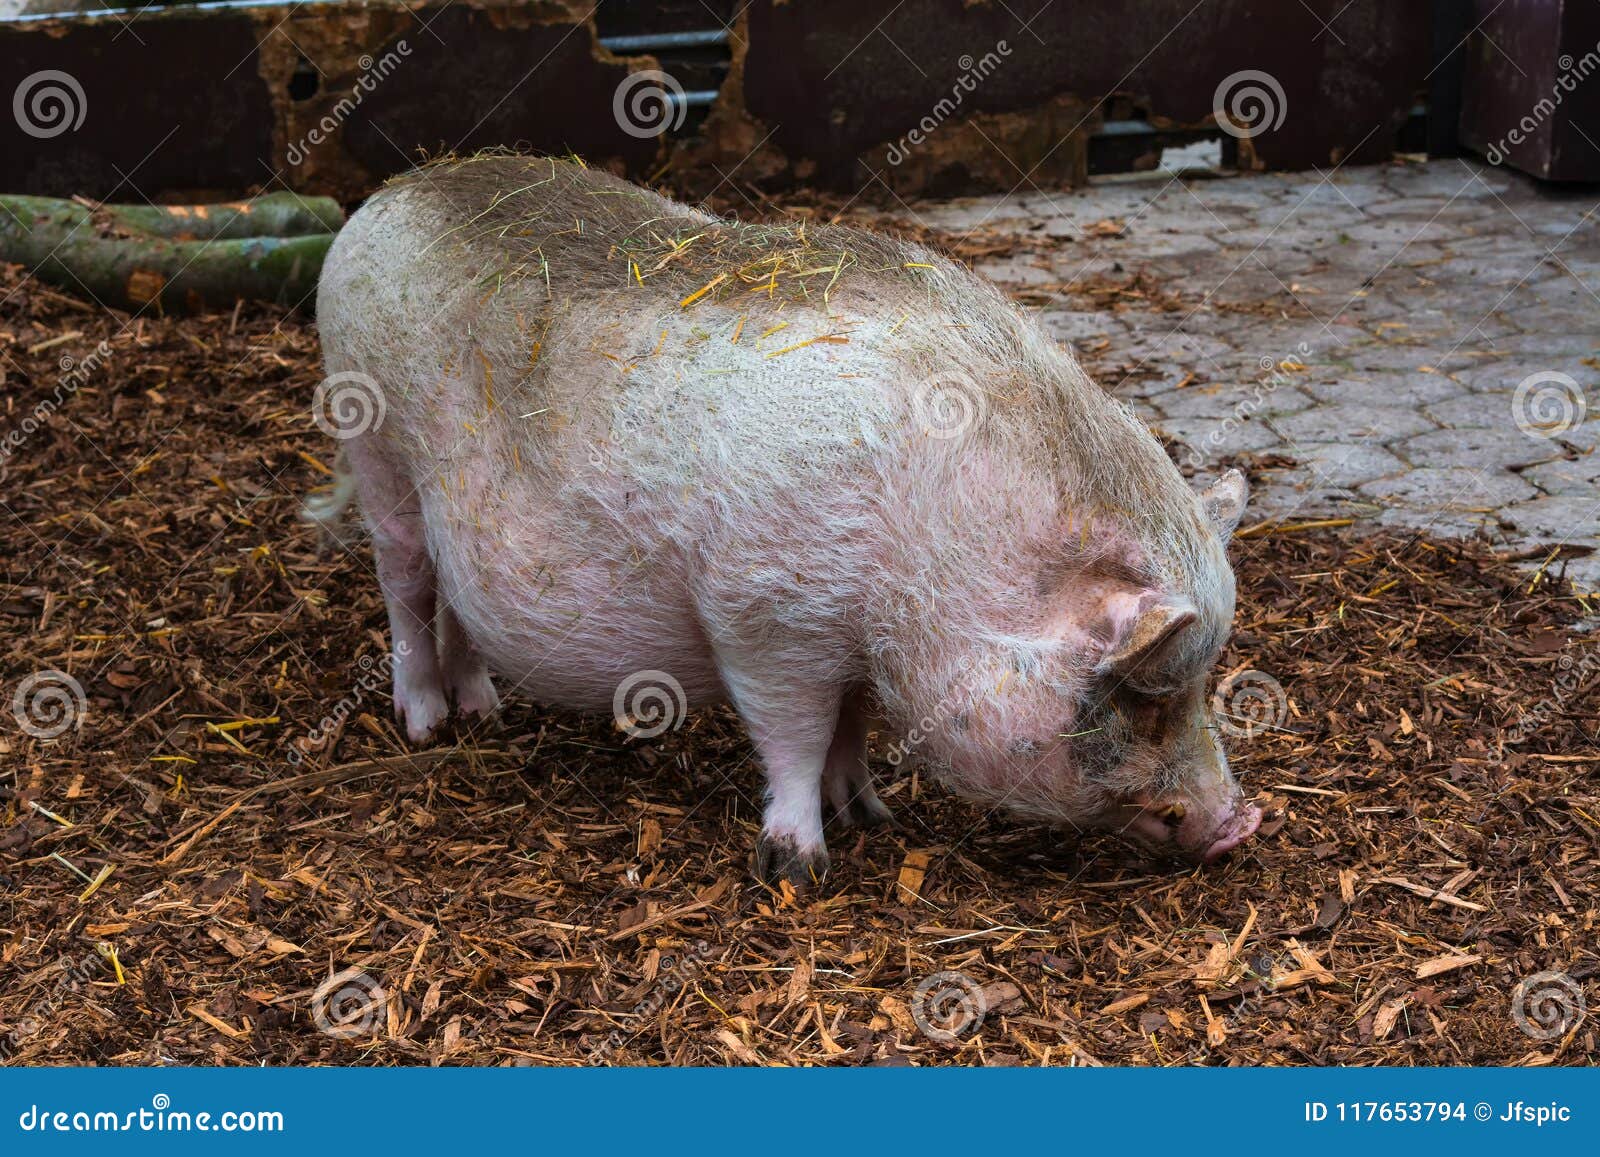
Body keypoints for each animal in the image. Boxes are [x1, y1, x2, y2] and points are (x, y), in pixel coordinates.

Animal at [308, 153, 1260, 889]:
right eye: (1138, 693)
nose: (1238, 823)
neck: (937, 547)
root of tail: (389, 193)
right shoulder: (766, 615)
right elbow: (794, 735)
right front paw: (800, 868)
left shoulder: (856, 648)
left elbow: (851, 726)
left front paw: (871, 814)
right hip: (375, 444)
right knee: (402, 583)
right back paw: (427, 724)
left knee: (454, 597)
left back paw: (486, 714)